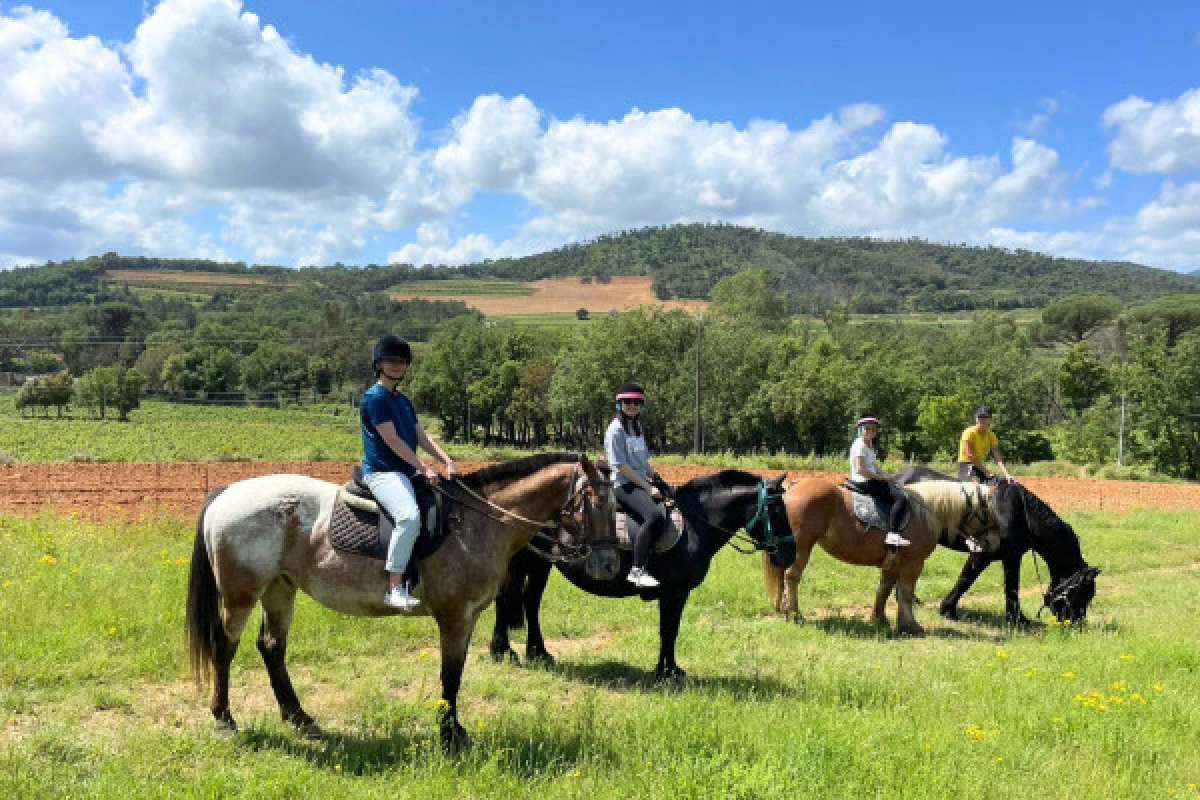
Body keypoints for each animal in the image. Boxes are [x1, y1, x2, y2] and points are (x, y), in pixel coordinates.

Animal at [187, 453, 619, 753]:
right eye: (593, 503)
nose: (609, 564)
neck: (475, 523)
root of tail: (227, 493)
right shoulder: (454, 615)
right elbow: (450, 676)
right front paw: (450, 736)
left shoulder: (468, 616)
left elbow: (456, 673)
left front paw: (454, 730)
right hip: (242, 594)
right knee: (225, 647)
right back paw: (224, 718)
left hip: (280, 588)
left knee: (272, 647)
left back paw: (300, 718)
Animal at [487, 470, 796, 681]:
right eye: (777, 510)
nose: (790, 555)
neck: (696, 525)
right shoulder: (674, 591)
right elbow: (668, 630)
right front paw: (666, 673)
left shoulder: (676, 593)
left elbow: (670, 629)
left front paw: (670, 668)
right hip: (521, 563)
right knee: (504, 600)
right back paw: (502, 651)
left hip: (542, 564)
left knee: (531, 602)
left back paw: (538, 652)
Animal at [763, 479, 988, 633]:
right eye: (987, 509)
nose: (987, 545)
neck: (926, 512)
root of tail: (792, 487)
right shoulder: (913, 563)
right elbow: (906, 593)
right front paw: (910, 625)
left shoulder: (893, 564)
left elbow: (884, 590)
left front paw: (880, 619)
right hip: (801, 547)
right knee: (792, 576)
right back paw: (795, 614)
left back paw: (784, 610)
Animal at [892, 465, 1099, 628]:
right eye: (1083, 592)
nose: (1077, 623)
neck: (1019, 513)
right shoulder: (982, 554)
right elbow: (966, 580)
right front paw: (947, 610)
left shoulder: (1012, 557)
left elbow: (1012, 588)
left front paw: (1017, 619)